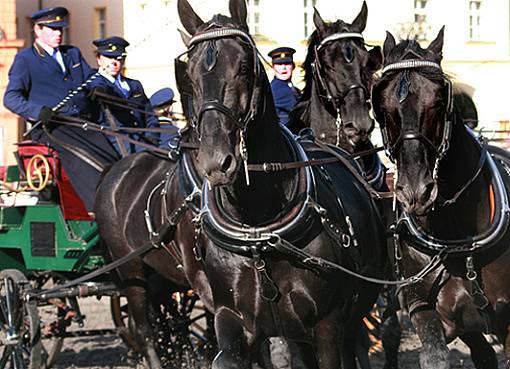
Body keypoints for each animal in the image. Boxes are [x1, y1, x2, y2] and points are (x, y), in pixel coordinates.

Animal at [175, 0, 386, 366]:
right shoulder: (230, 318)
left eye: (245, 66)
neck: (258, 227)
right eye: (190, 74)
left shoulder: (328, 325)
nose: (216, 161)